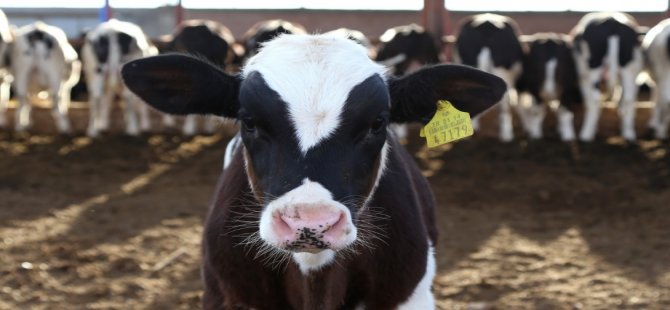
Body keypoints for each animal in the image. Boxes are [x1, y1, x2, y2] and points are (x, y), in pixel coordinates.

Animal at [572, 12, 644, 142]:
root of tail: (612, 22)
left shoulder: (582, 76)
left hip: (593, 67)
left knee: (595, 99)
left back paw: (586, 134)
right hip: (629, 69)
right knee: (629, 98)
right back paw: (629, 134)